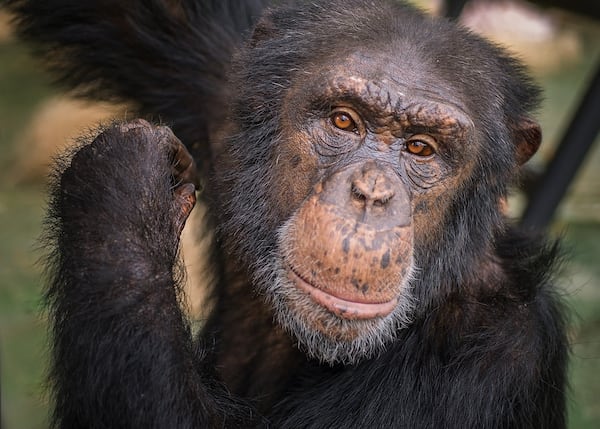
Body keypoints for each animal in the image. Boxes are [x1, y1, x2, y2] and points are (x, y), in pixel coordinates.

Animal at [4, 0, 568, 426]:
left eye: (421, 149)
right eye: (344, 121)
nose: (371, 192)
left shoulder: (490, 353)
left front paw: (125, 183)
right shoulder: (224, 78)